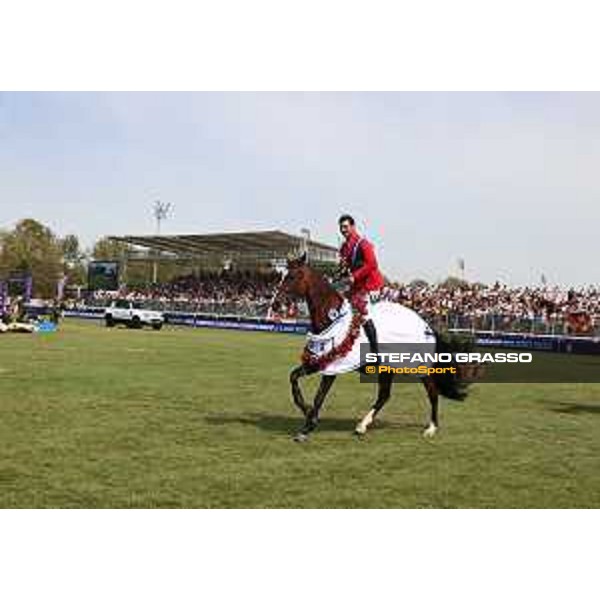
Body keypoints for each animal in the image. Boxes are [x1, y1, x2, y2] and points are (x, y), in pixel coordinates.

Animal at [272, 251, 474, 442]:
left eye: (292, 276)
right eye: (282, 276)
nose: (275, 305)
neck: (331, 317)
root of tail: (426, 325)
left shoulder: (332, 365)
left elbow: (319, 395)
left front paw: (307, 427)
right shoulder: (318, 361)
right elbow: (294, 378)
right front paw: (307, 414)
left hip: (419, 367)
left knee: (432, 392)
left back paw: (431, 428)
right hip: (387, 368)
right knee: (384, 395)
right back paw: (362, 426)